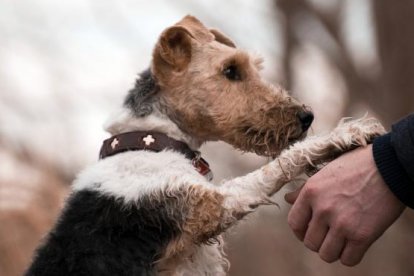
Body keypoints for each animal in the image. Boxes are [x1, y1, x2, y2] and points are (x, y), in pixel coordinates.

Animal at [26, 15, 384, 276]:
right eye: (230, 71)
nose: (306, 116)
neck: (151, 140)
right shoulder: (211, 205)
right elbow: (276, 166)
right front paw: (349, 133)